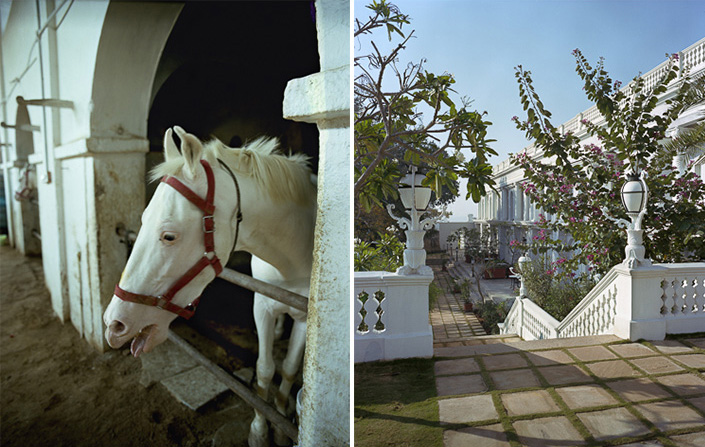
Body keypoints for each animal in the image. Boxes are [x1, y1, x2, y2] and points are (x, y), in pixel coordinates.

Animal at [103, 127, 314, 447]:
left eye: (168, 235)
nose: (113, 324)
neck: (291, 256)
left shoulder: (305, 318)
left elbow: (288, 370)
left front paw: (279, 427)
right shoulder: (263, 306)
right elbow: (264, 371)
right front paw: (259, 431)